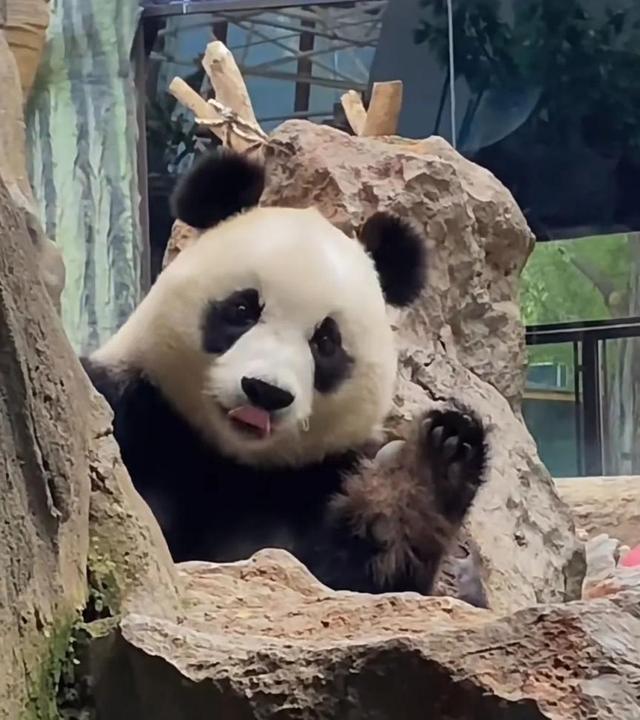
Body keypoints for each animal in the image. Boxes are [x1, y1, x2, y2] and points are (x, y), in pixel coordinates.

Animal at [82, 150, 488, 596]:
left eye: (325, 341)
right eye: (243, 309)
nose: (265, 392)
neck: (229, 461)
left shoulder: (318, 480)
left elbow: (361, 579)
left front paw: (439, 460)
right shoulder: (135, 408)